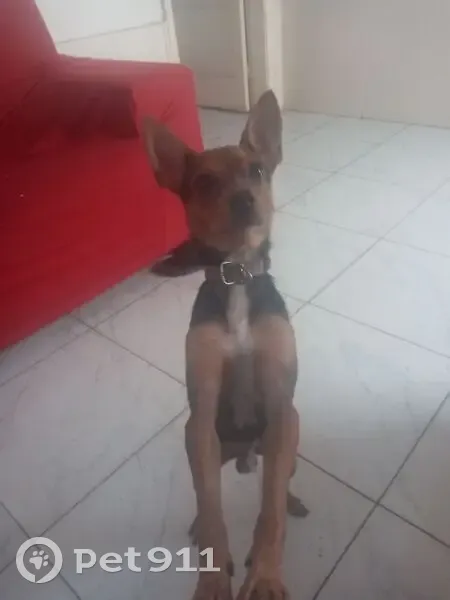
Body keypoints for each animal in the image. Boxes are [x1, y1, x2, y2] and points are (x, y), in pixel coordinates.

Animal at [143, 90, 308, 600]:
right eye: (203, 182)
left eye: (256, 170)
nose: (243, 200)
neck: (237, 275)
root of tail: (245, 455)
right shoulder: (203, 407)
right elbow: (215, 513)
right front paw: (214, 579)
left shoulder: (279, 400)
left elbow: (269, 512)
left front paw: (266, 576)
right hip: (197, 437)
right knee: (206, 493)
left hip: (289, 426)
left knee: (279, 481)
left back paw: (290, 500)